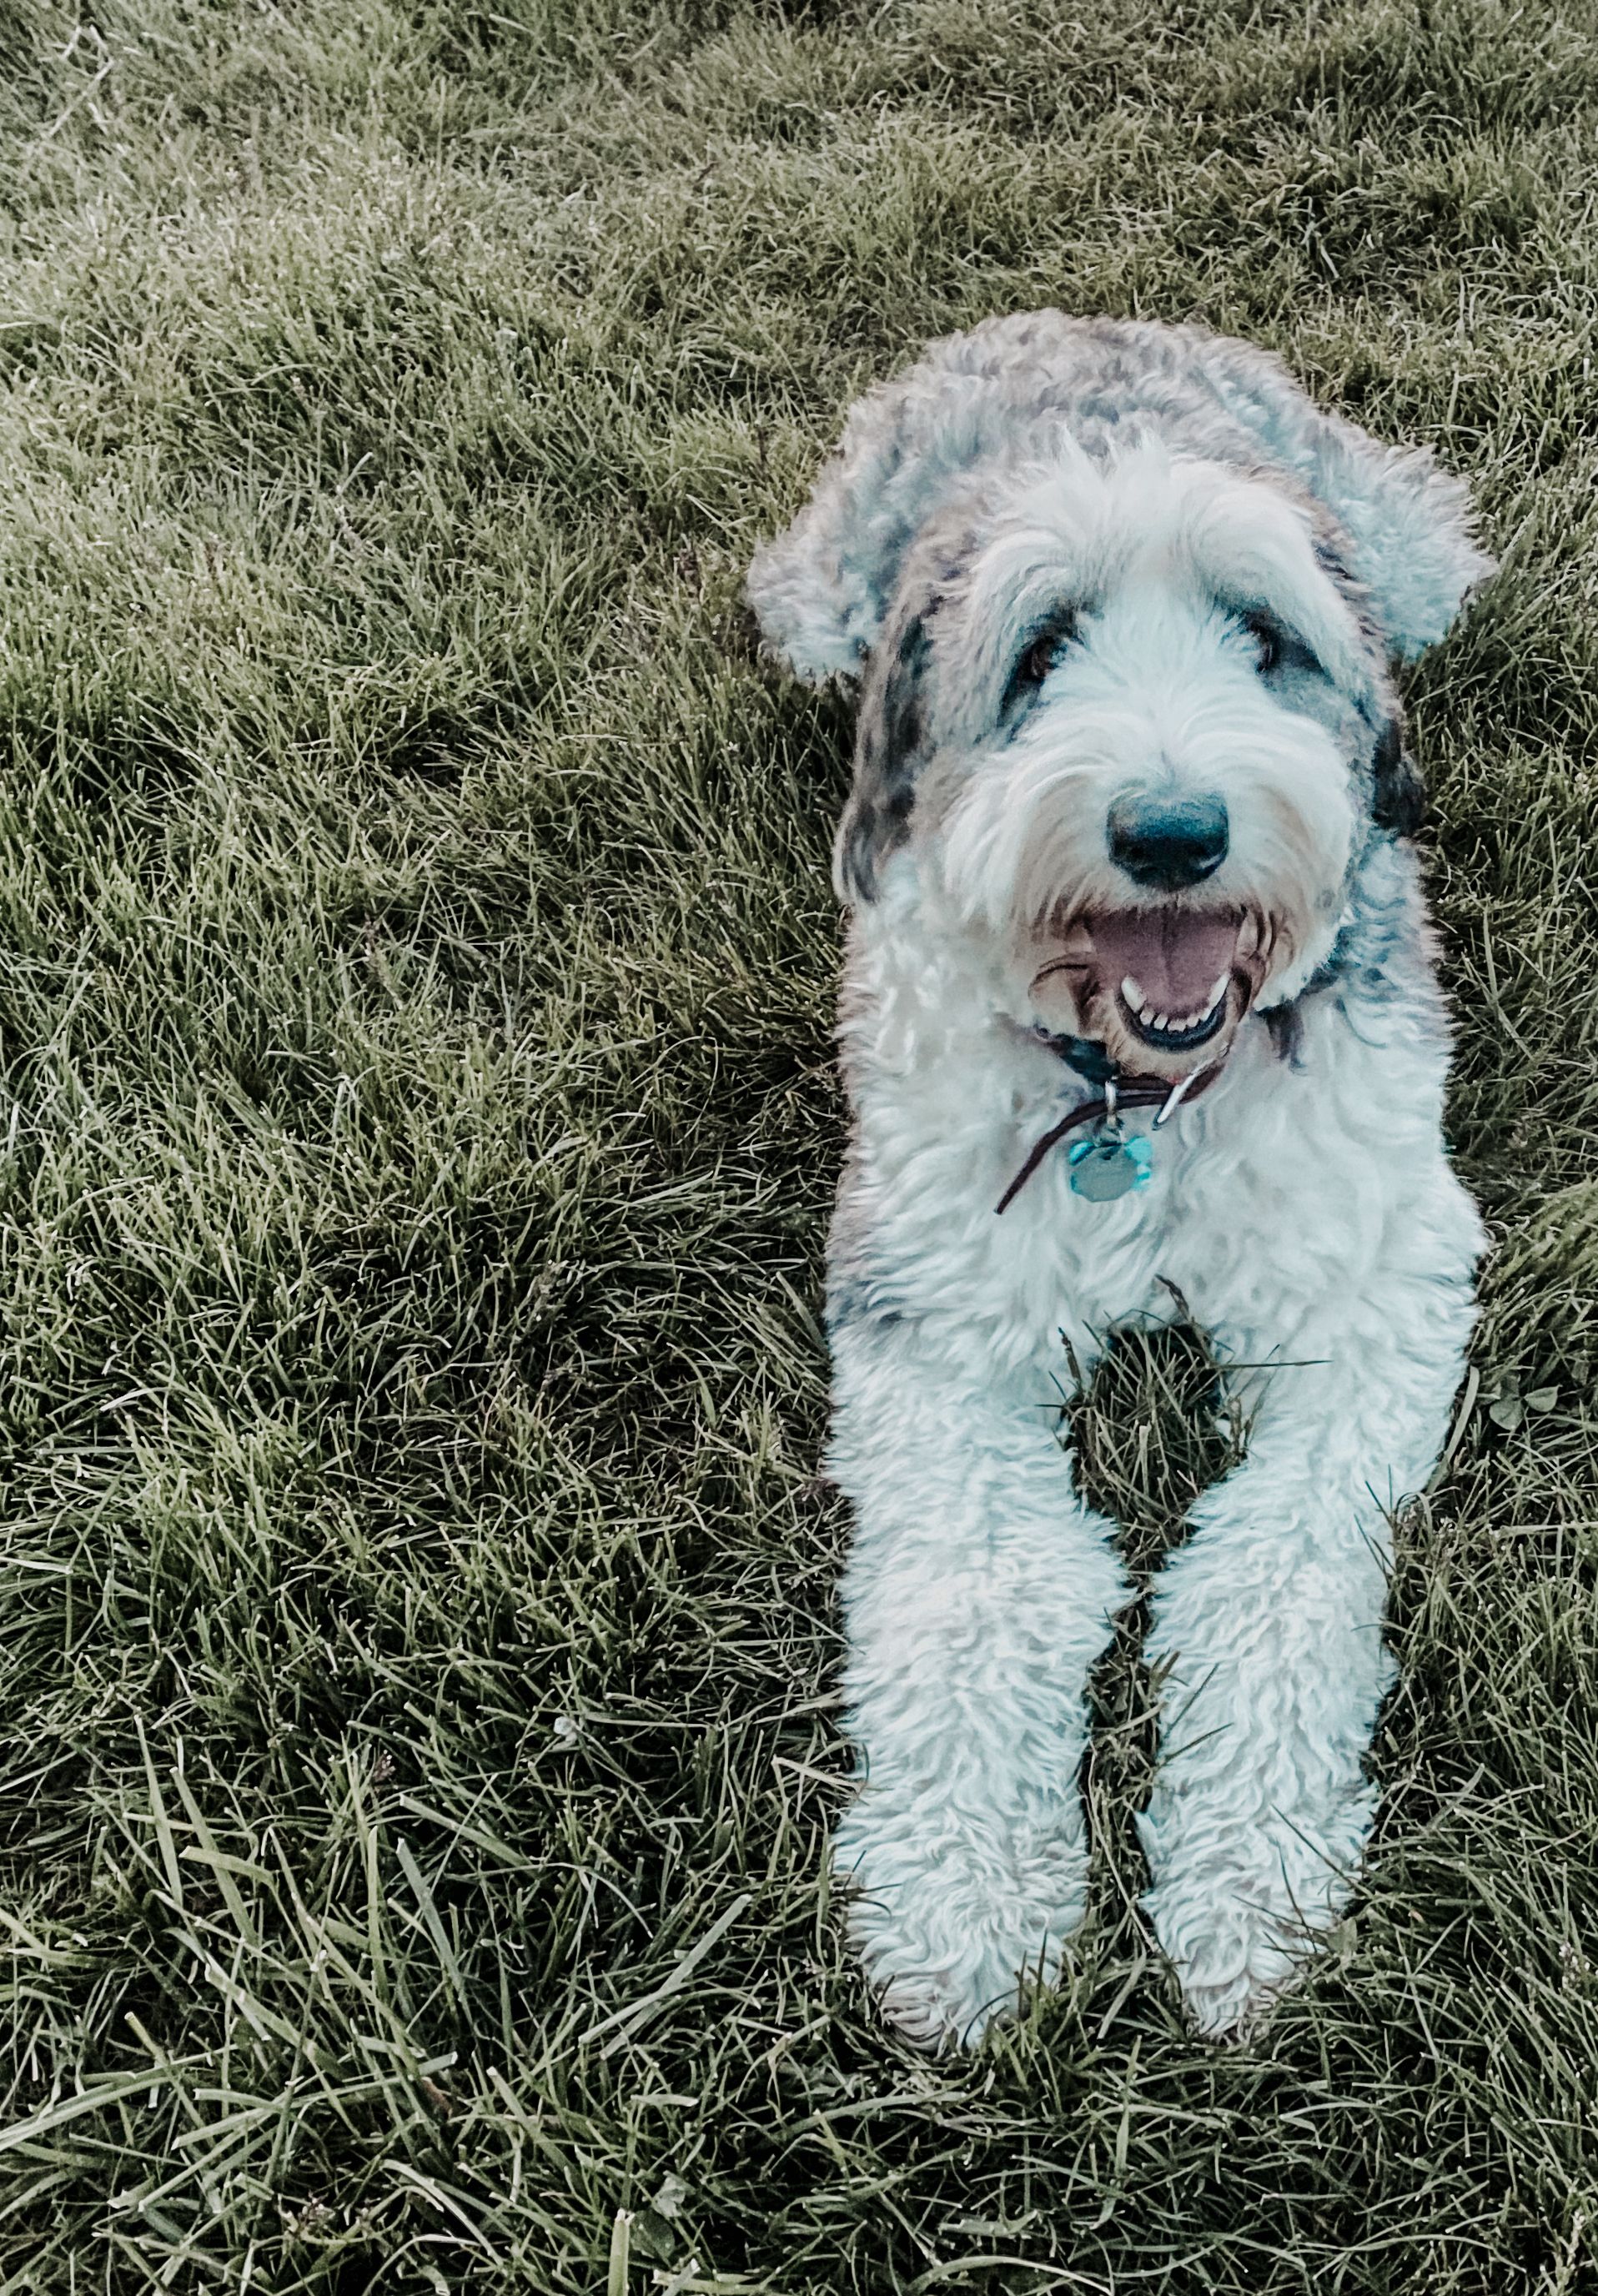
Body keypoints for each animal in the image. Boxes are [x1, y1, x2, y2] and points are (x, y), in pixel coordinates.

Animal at [747, 312, 1494, 2048]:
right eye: (1038, 654)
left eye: (1262, 635)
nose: (1171, 830)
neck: (1142, 1101)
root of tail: (1074, 317)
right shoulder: (932, 1316)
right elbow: (976, 1590)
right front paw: (960, 1907)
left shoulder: (1375, 1284)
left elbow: (1272, 1573)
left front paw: (1247, 1888)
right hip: (812, 600)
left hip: (1411, 542)